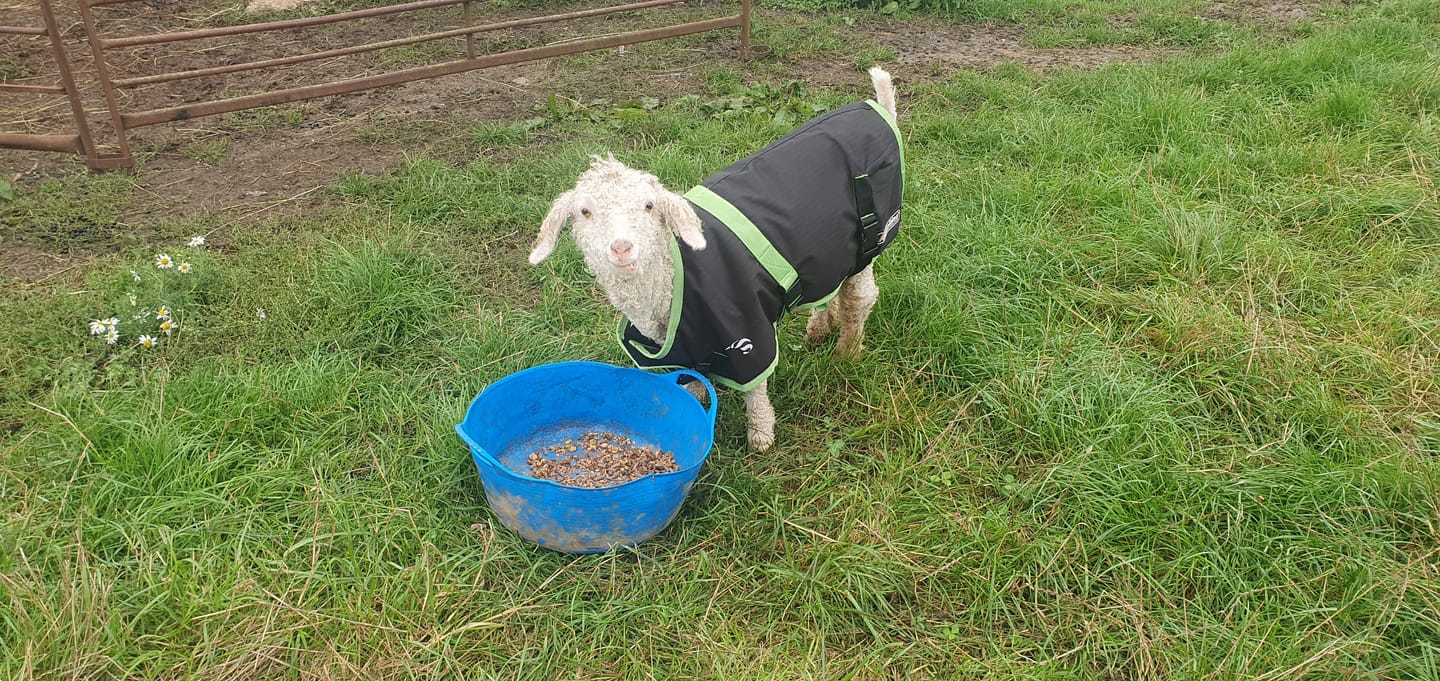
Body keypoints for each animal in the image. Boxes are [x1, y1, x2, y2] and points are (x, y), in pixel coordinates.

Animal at [528, 68, 903, 452]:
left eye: (649, 206)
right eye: (584, 212)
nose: (621, 248)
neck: (673, 276)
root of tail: (877, 108)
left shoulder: (747, 333)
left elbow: (755, 388)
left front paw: (761, 435)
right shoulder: (687, 345)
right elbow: (691, 382)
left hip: (868, 243)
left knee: (859, 298)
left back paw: (848, 351)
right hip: (826, 253)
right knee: (831, 289)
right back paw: (819, 328)